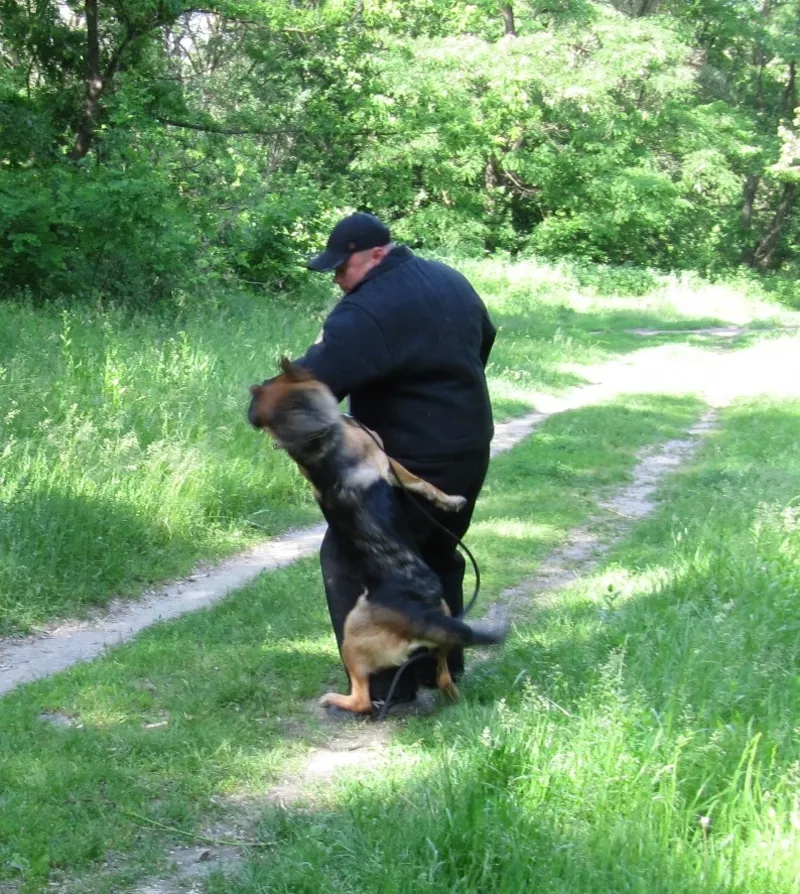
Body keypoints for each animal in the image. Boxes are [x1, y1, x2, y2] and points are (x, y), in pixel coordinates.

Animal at [247, 360, 510, 716]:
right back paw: (339, 700)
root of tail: (420, 615)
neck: (316, 436)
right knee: (363, 699)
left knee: (443, 676)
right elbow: (421, 482)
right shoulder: (388, 462)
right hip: (351, 636)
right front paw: (449, 499)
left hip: (436, 628)